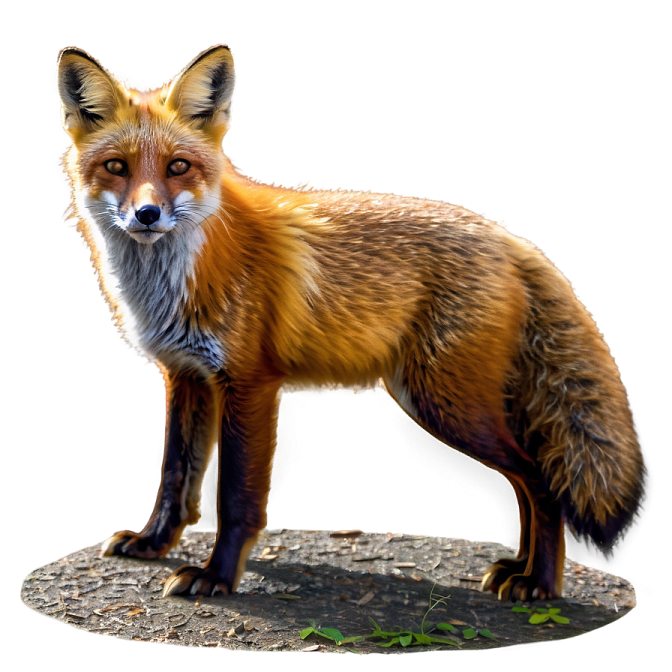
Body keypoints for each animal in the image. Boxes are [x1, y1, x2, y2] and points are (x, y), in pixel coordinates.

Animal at [52, 43, 651, 602]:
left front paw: (217, 577)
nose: (146, 215)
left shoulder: (249, 383)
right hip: (451, 401)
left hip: (443, 403)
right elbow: (176, 475)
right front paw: (154, 543)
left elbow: (238, 497)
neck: (179, 279)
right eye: (116, 167)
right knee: (528, 483)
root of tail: (508, 237)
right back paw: (519, 567)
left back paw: (541, 583)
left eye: (178, 166)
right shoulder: (185, 376)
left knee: (542, 481)